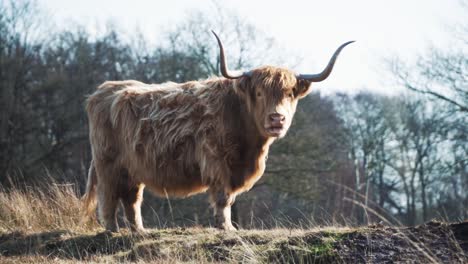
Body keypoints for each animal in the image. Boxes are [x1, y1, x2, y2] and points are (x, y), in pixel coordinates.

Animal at [81, 31, 352, 231]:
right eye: (259, 93)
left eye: (289, 94)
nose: (277, 118)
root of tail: (102, 91)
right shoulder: (216, 160)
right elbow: (223, 197)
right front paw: (227, 227)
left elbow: (229, 197)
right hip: (108, 164)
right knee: (109, 197)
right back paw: (112, 230)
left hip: (133, 168)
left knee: (131, 198)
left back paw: (138, 231)